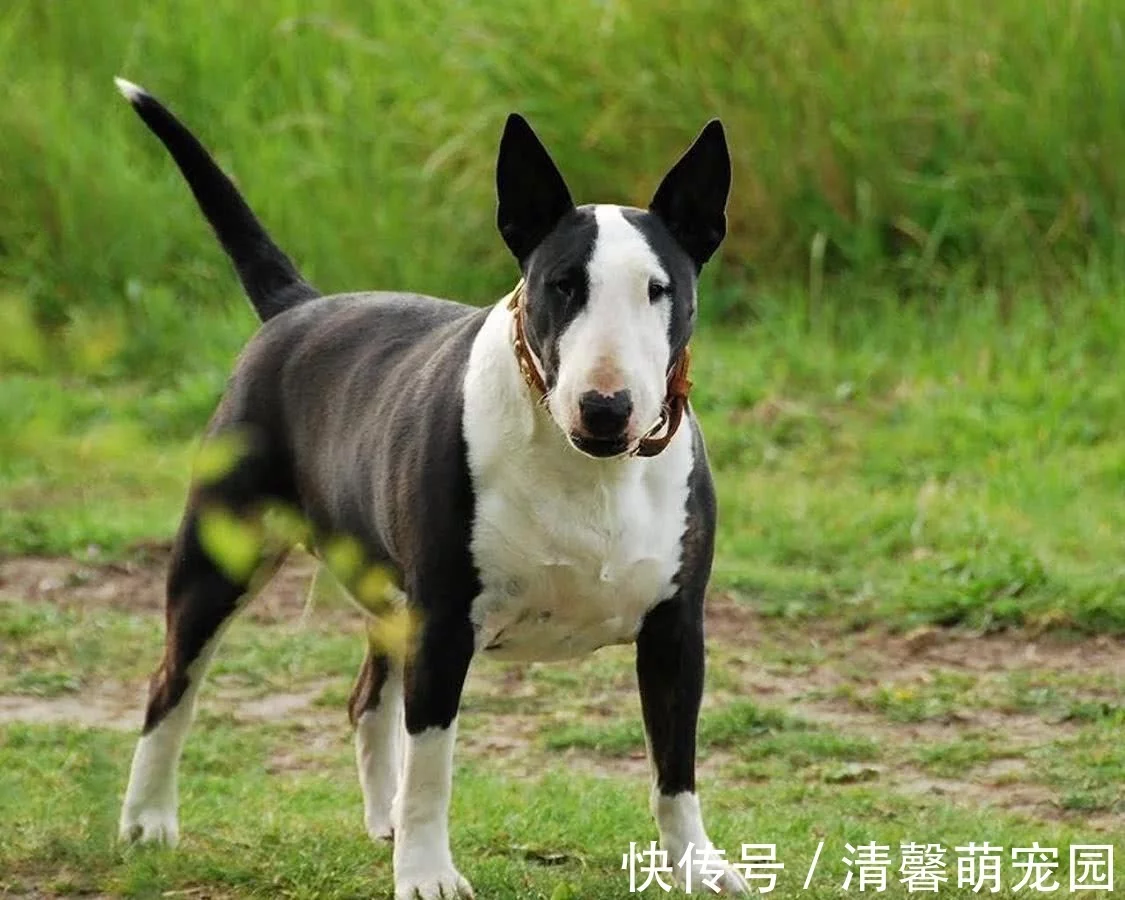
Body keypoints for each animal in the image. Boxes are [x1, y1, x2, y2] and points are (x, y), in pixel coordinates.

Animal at [116, 79, 747, 900]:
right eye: (561, 286)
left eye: (658, 289)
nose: (606, 408)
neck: (589, 469)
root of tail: (296, 306)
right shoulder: (445, 622)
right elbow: (432, 765)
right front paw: (426, 875)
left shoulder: (676, 627)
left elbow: (676, 765)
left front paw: (699, 865)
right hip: (223, 554)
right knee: (173, 682)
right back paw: (147, 821)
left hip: (388, 589)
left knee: (365, 696)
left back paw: (377, 819)